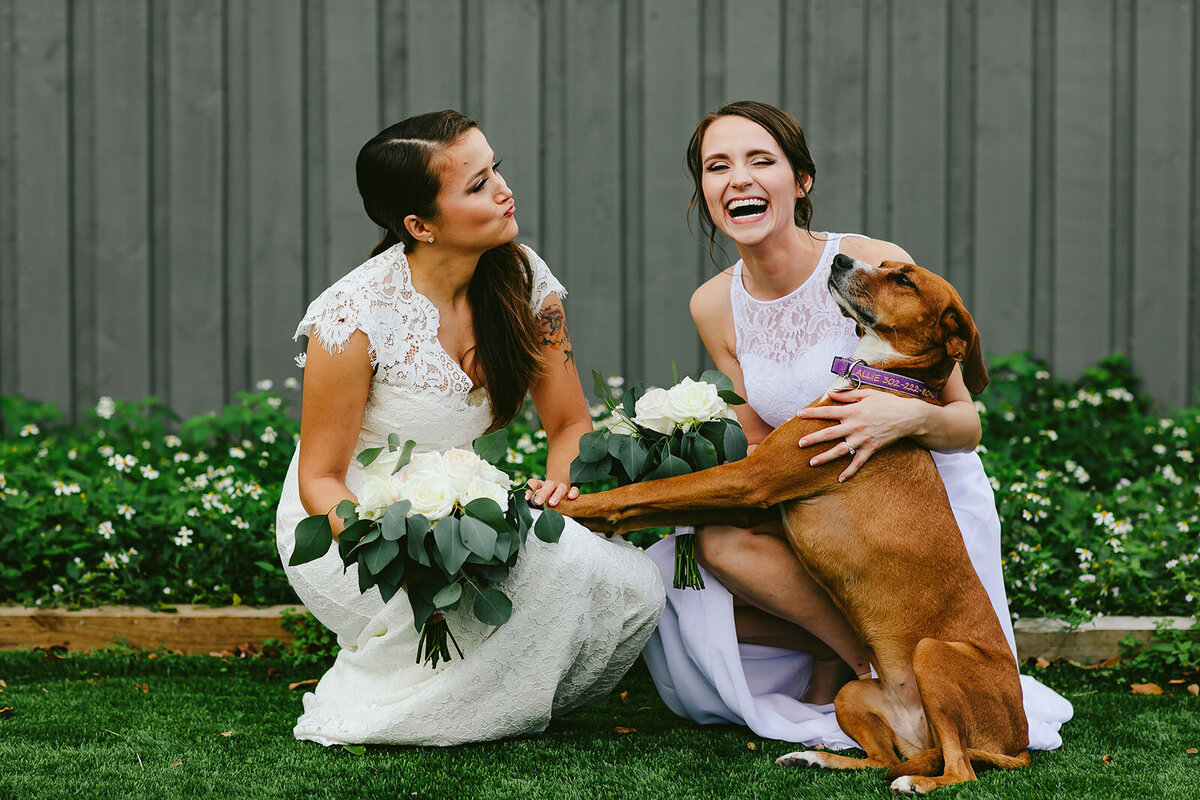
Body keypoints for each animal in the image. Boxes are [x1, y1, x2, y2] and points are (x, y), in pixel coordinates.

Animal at [556, 256, 1027, 796]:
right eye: (885, 265)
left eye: (904, 278)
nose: (841, 259)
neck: (878, 379)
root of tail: (1018, 743)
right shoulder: (748, 502)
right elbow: (653, 501)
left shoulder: (748, 479)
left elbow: (647, 491)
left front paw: (561, 502)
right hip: (854, 694)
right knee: (881, 760)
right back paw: (815, 758)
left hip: (932, 657)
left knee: (960, 769)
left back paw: (916, 782)